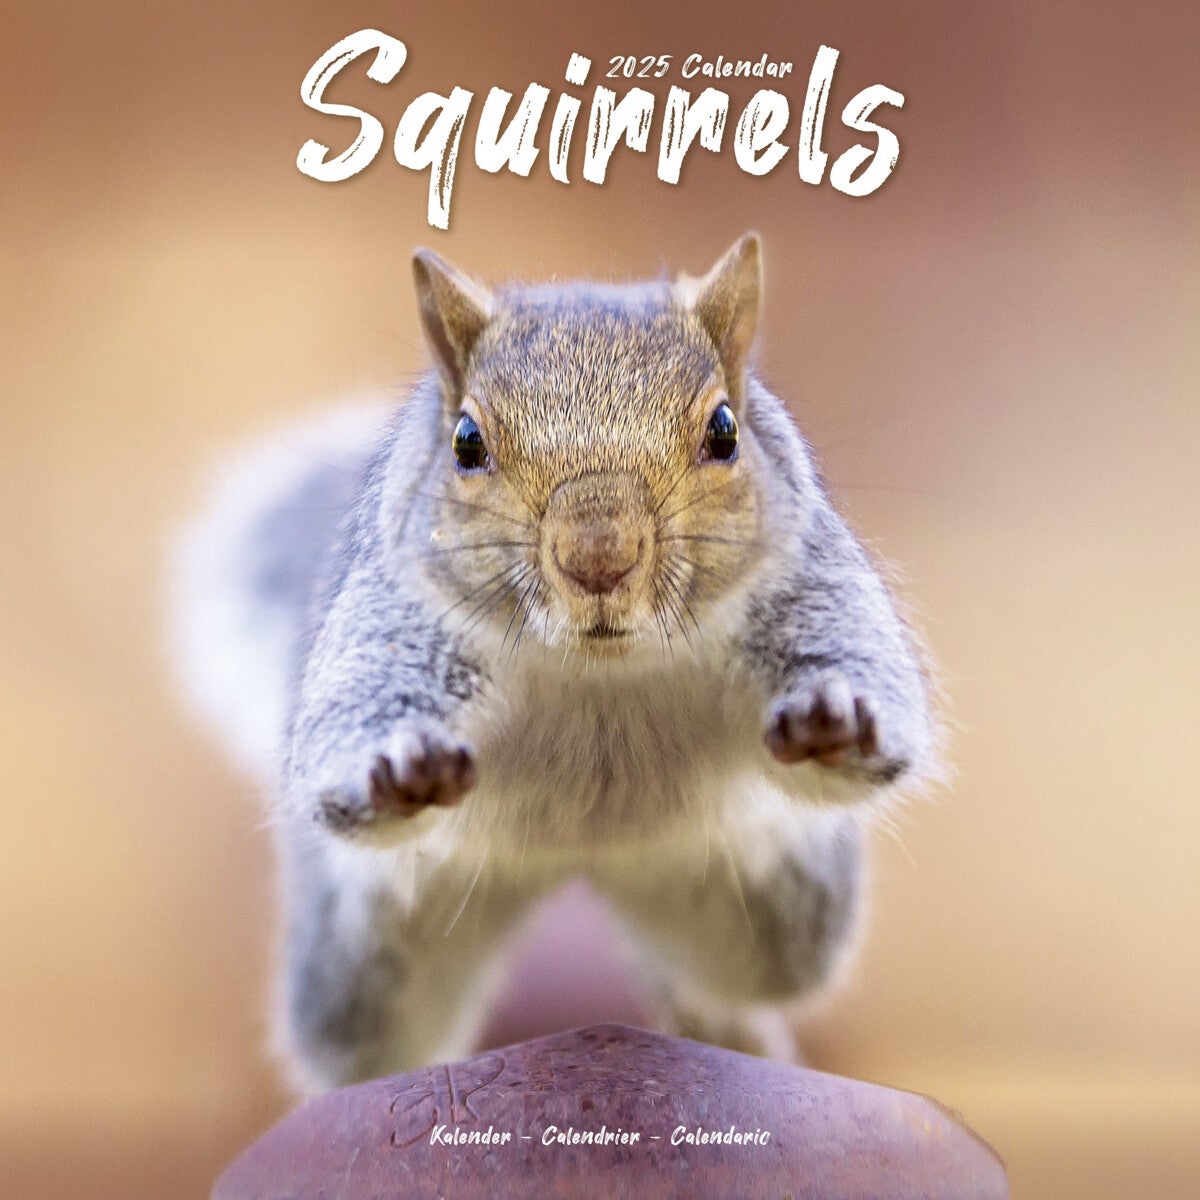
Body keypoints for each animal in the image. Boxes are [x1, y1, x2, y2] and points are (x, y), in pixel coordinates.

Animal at [171, 234, 936, 1095]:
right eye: (466, 441)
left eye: (725, 430)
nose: (597, 555)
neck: (597, 670)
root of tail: (586, 865)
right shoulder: (393, 624)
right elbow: (354, 718)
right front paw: (399, 764)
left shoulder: (809, 584)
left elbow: (863, 674)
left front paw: (834, 717)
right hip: (368, 958)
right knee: (360, 1042)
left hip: (767, 897)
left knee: (738, 974)